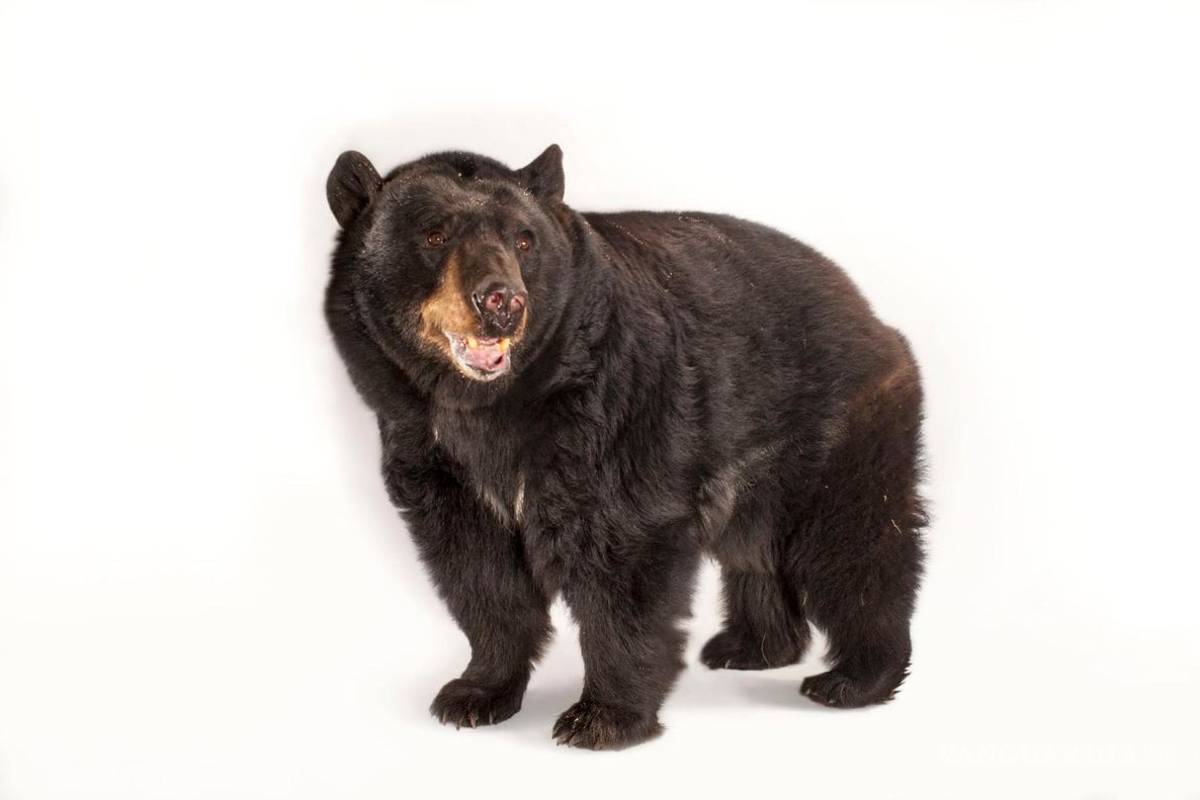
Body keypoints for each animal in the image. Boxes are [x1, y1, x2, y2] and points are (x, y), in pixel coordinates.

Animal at [324, 144, 927, 750]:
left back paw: (855, 678)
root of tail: (866, 309)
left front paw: (601, 717)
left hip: (837, 422)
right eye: (434, 235)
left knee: (854, 543)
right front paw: (475, 693)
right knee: (754, 546)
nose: (502, 301)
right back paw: (752, 646)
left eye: (524, 240)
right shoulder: (434, 454)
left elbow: (623, 553)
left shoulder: (616, 410)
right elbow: (479, 570)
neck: (488, 406)